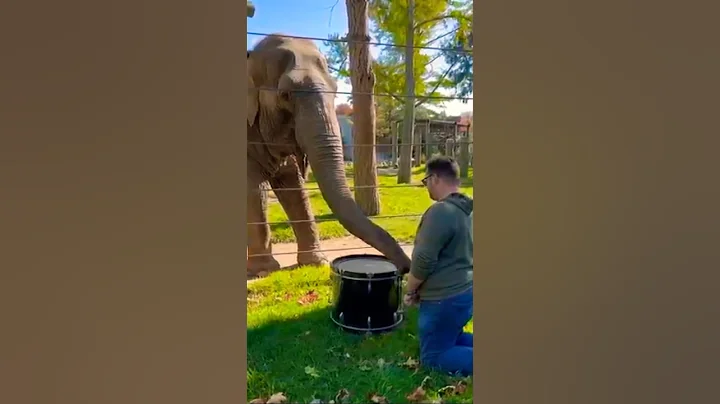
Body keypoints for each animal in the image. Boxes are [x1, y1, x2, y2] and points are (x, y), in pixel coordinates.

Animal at [246, 34, 411, 276]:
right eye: (285, 95)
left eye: (335, 90)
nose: (406, 267)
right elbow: (254, 189)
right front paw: (263, 271)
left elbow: (294, 188)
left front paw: (315, 263)